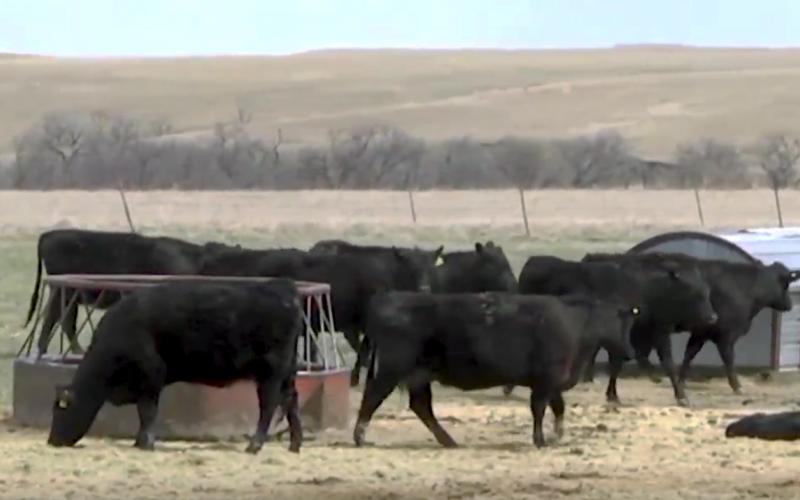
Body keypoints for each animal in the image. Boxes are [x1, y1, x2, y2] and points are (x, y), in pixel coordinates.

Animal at [47, 278, 304, 454]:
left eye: (62, 410)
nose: (52, 441)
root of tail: (282, 288)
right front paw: (139, 441)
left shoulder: (152, 375)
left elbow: (147, 411)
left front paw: (145, 443)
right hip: (286, 373)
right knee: (291, 400)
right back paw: (295, 444)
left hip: (270, 373)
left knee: (269, 406)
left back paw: (254, 445)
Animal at [353, 291, 639, 449]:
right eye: (619, 322)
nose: (629, 352)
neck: (577, 321)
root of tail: (387, 298)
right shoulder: (546, 380)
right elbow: (539, 409)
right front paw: (541, 439)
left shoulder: (553, 382)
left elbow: (558, 407)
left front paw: (558, 435)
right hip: (392, 369)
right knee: (373, 396)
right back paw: (360, 436)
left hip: (420, 375)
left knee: (421, 406)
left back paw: (448, 440)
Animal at [512, 254, 718, 406]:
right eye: (693, 293)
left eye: (707, 292)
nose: (712, 317)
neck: (647, 291)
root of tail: (535, 261)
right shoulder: (650, 334)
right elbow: (664, 363)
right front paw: (680, 396)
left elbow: (622, 363)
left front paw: (613, 395)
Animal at [583, 251, 799, 395]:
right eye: (786, 283)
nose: (790, 304)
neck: (745, 286)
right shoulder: (725, 336)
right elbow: (728, 359)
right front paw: (737, 386)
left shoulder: (701, 332)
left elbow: (689, 354)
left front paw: (682, 380)